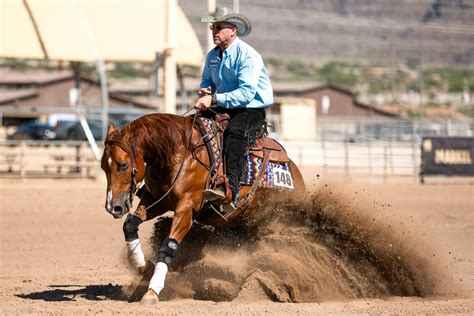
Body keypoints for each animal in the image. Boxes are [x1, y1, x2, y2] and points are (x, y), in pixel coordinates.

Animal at [101, 113, 306, 304]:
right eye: (103, 167)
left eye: (123, 165)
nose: (113, 207)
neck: (178, 153)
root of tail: (294, 173)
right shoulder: (156, 200)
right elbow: (130, 224)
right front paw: (143, 267)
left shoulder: (186, 208)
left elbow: (169, 246)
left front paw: (152, 292)